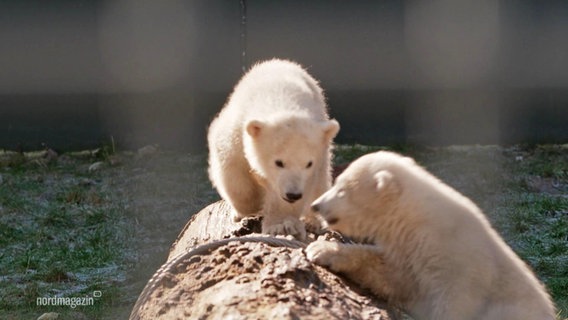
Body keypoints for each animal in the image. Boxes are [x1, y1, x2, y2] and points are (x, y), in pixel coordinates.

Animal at [209, 59, 342, 240]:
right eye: (278, 162)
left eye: (308, 163)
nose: (293, 194)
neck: (280, 95)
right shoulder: (234, 130)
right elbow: (233, 166)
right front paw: (251, 204)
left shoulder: (316, 159)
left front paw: (281, 225)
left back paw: (313, 222)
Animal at [306, 151, 556, 320]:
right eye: (336, 182)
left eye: (341, 190)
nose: (316, 205)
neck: (420, 220)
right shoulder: (408, 251)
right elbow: (391, 275)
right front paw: (321, 250)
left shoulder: (461, 262)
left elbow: (456, 302)